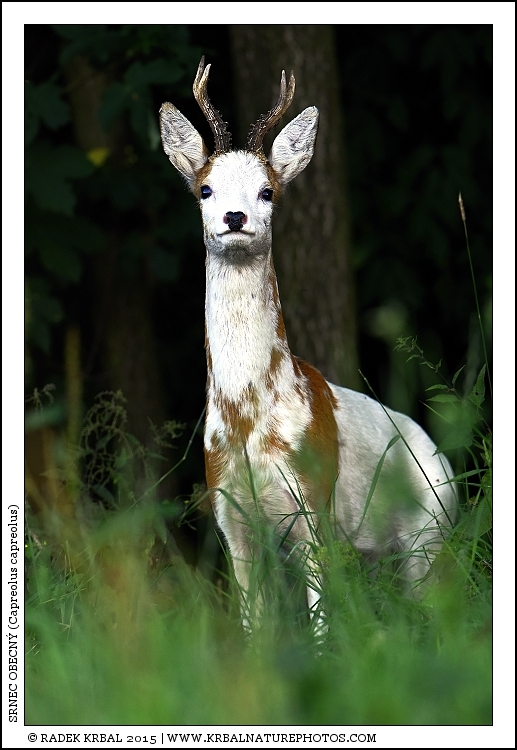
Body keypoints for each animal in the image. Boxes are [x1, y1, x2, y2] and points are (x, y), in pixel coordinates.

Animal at [159, 58, 457, 637]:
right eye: (205, 188)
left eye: (267, 190)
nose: (234, 218)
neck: (250, 419)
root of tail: (444, 459)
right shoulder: (230, 515)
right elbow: (254, 627)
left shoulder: (313, 503)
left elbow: (321, 629)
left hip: (428, 535)